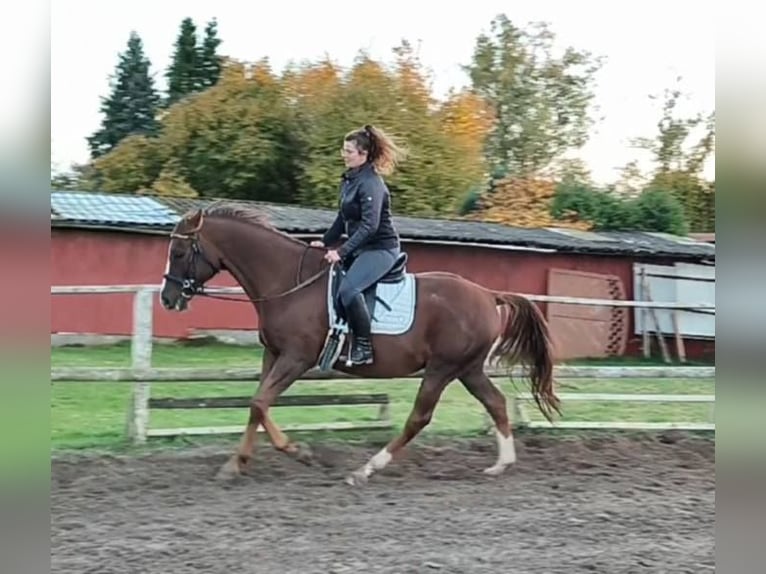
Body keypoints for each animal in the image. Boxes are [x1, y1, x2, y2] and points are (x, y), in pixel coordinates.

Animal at [159, 202, 560, 486]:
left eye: (179, 253)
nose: (167, 298)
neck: (288, 282)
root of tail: (488, 294)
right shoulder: (272, 354)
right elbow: (257, 405)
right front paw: (236, 464)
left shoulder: (296, 358)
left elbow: (259, 403)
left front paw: (300, 453)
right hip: (468, 369)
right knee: (496, 402)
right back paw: (501, 464)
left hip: (443, 369)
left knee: (419, 418)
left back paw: (365, 470)